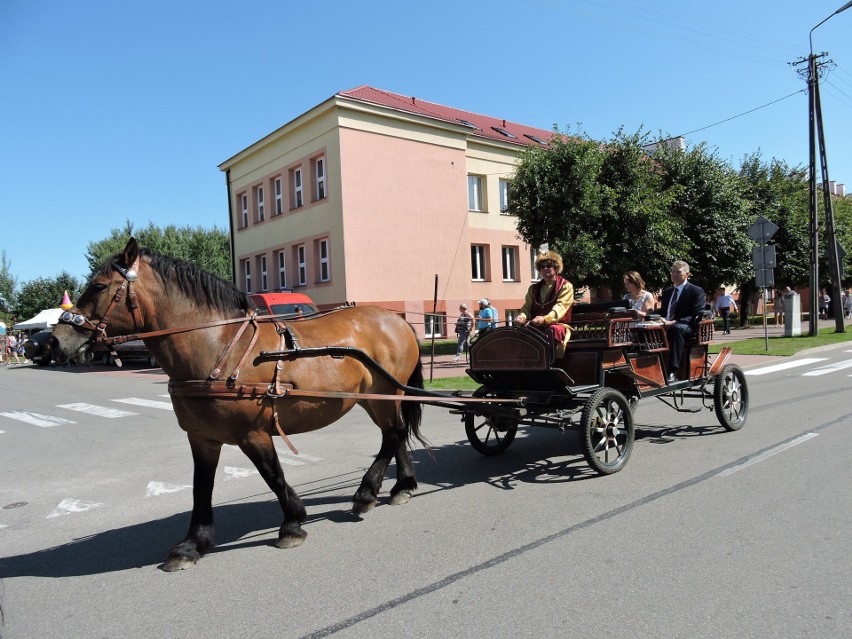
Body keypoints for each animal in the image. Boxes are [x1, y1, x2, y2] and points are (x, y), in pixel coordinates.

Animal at [51, 238, 424, 572]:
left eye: (99, 286)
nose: (55, 340)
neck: (218, 346)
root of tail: (397, 319)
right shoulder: (202, 437)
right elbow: (201, 487)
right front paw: (192, 544)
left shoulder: (253, 434)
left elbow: (273, 475)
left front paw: (292, 523)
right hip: (373, 399)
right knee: (396, 434)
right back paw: (402, 486)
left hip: (386, 394)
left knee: (393, 435)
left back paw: (366, 493)